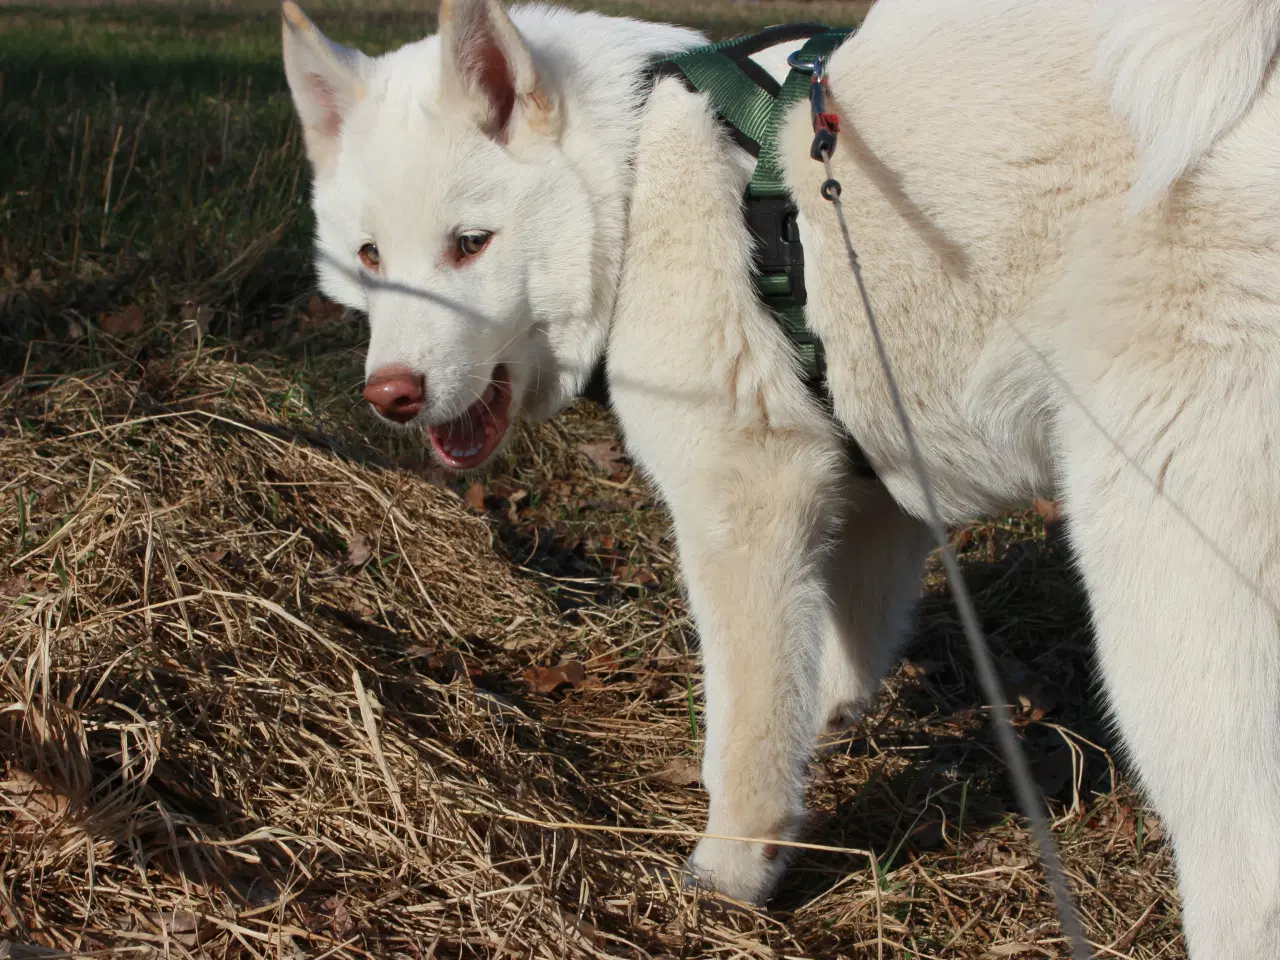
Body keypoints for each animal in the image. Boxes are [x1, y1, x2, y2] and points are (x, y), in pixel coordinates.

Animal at [285, 1, 1280, 957]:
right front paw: (830, 728)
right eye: (371, 257)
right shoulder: (874, 486)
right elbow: (831, 658)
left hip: (1167, 585)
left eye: (470, 244)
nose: (392, 397)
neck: (635, 173)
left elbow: (747, 730)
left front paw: (733, 873)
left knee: (1242, 859)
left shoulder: (746, 498)